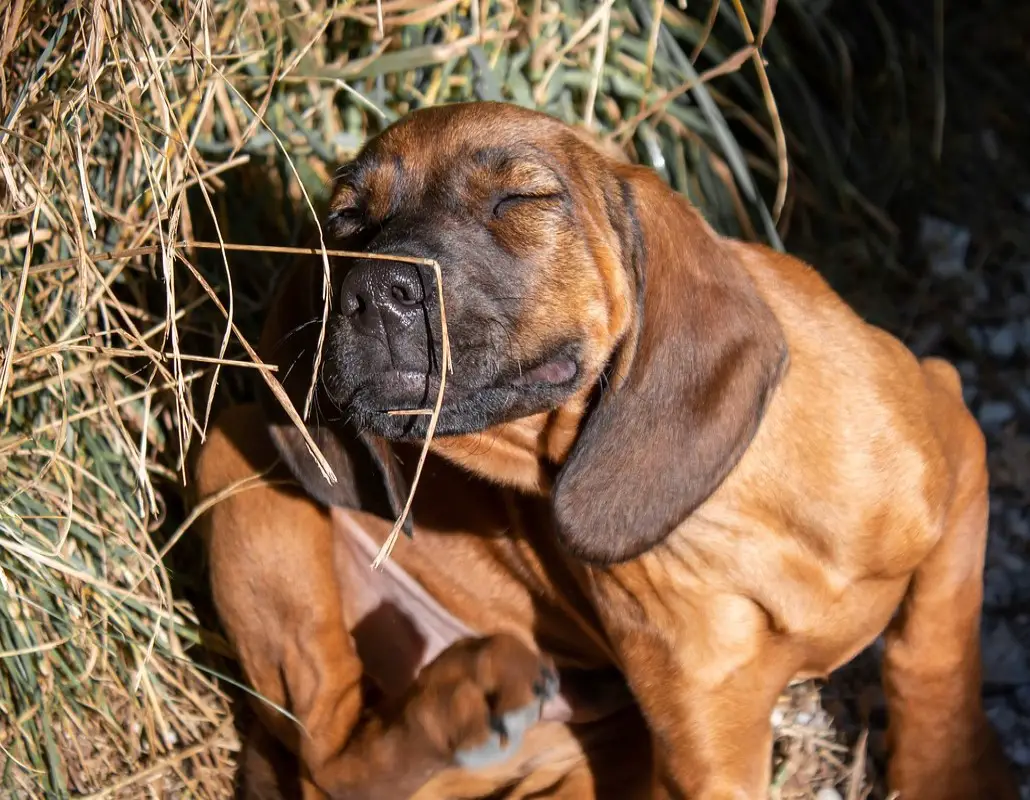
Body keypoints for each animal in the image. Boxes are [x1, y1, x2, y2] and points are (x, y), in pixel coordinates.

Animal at [196, 101, 1017, 798]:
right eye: (344, 219)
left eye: (521, 200)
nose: (369, 292)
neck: (724, 515)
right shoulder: (710, 761)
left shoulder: (958, 433)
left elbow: (936, 649)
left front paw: (956, 773)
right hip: (235, 457)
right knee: (329, 760)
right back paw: (471, 691)